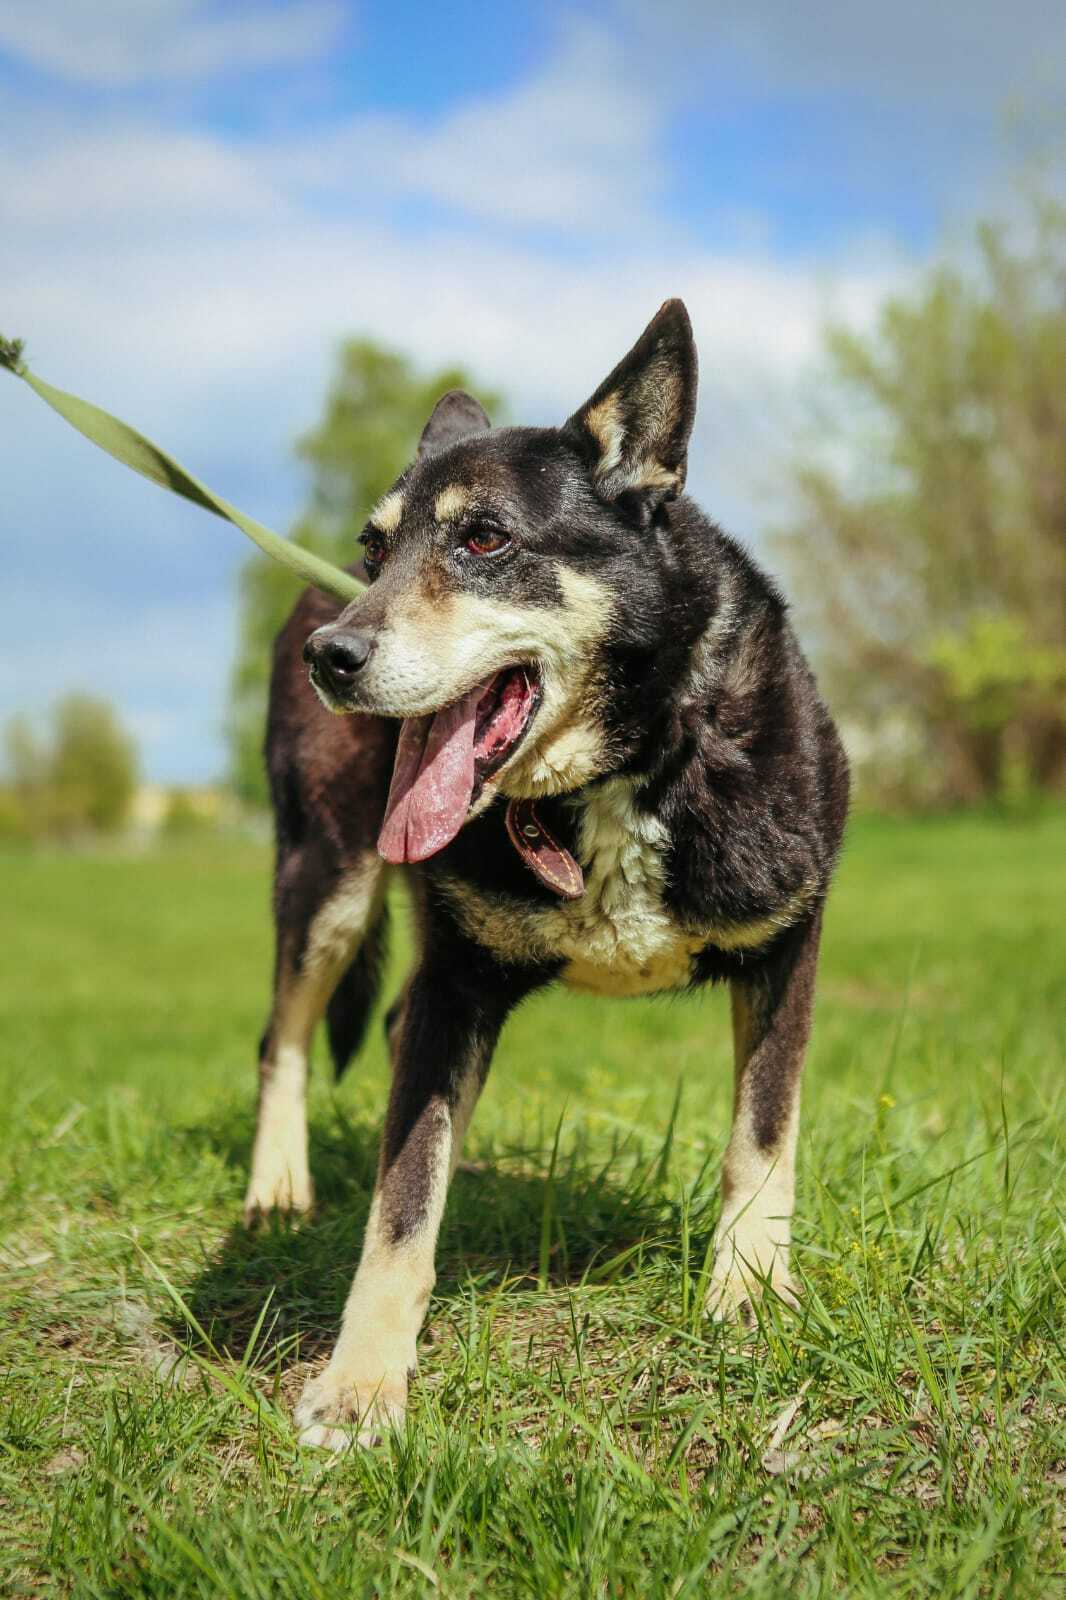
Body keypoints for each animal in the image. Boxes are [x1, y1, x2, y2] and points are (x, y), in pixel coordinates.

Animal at [243, 300, 845, 1452]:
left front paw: (748, 1292)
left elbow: (764, 1135)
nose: (329, 656)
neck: (622, 769)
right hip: (326, 879)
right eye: (375, 549)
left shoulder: (786, 948)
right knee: (285, 1038)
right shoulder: (456, 980)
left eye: (483, 539)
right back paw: (278, 1189)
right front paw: (362, 1381)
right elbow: (400, 1201)